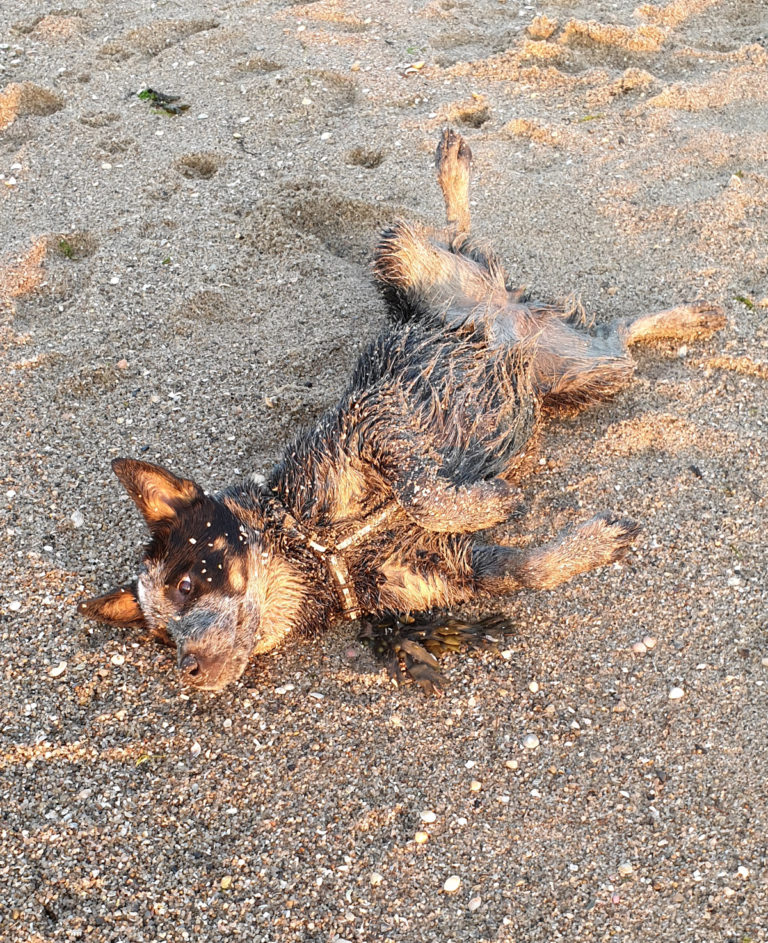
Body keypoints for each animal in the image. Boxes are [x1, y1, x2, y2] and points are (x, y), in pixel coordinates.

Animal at [78, 129, 728, 692]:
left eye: (187, 584)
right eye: (161, 636)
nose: (185, 669)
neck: (321, 549)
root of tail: (511, 314)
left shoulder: (374, 420)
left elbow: (422, 492)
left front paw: (488, 501)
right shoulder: (449, 571)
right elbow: (524, 570)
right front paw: (587, 545)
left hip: (406, 258)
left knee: (454, 231)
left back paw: (454, 161)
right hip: (581, 375)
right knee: (618, 333)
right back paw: (687, 318)